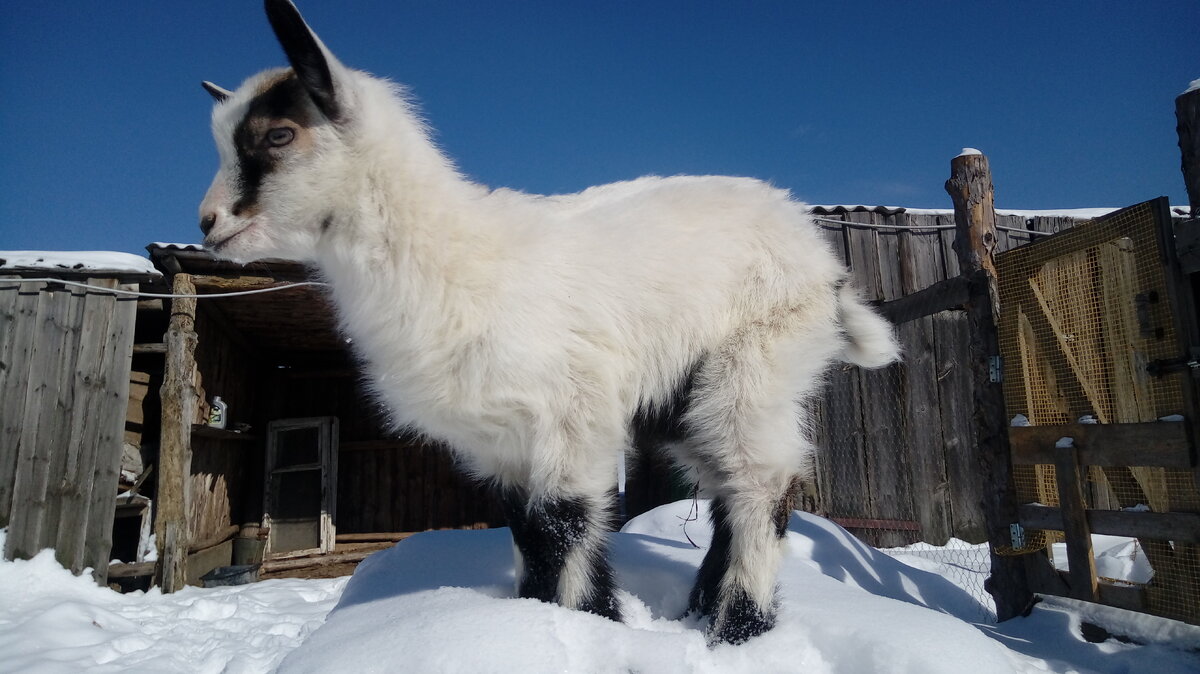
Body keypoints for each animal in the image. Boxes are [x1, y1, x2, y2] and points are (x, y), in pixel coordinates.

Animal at [196, 0, 897, 638]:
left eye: (279, 136)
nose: (208, 223)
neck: (457, 259)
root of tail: (826, 264)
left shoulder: (571, 414)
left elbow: (565, 521)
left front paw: (590, 623)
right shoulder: (502, 439)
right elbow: (527, 529)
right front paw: (536, 616)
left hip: (756, 362)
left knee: (761, 486)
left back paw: (738, 628)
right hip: (684, 397)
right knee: (727, 489)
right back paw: (701, 611)